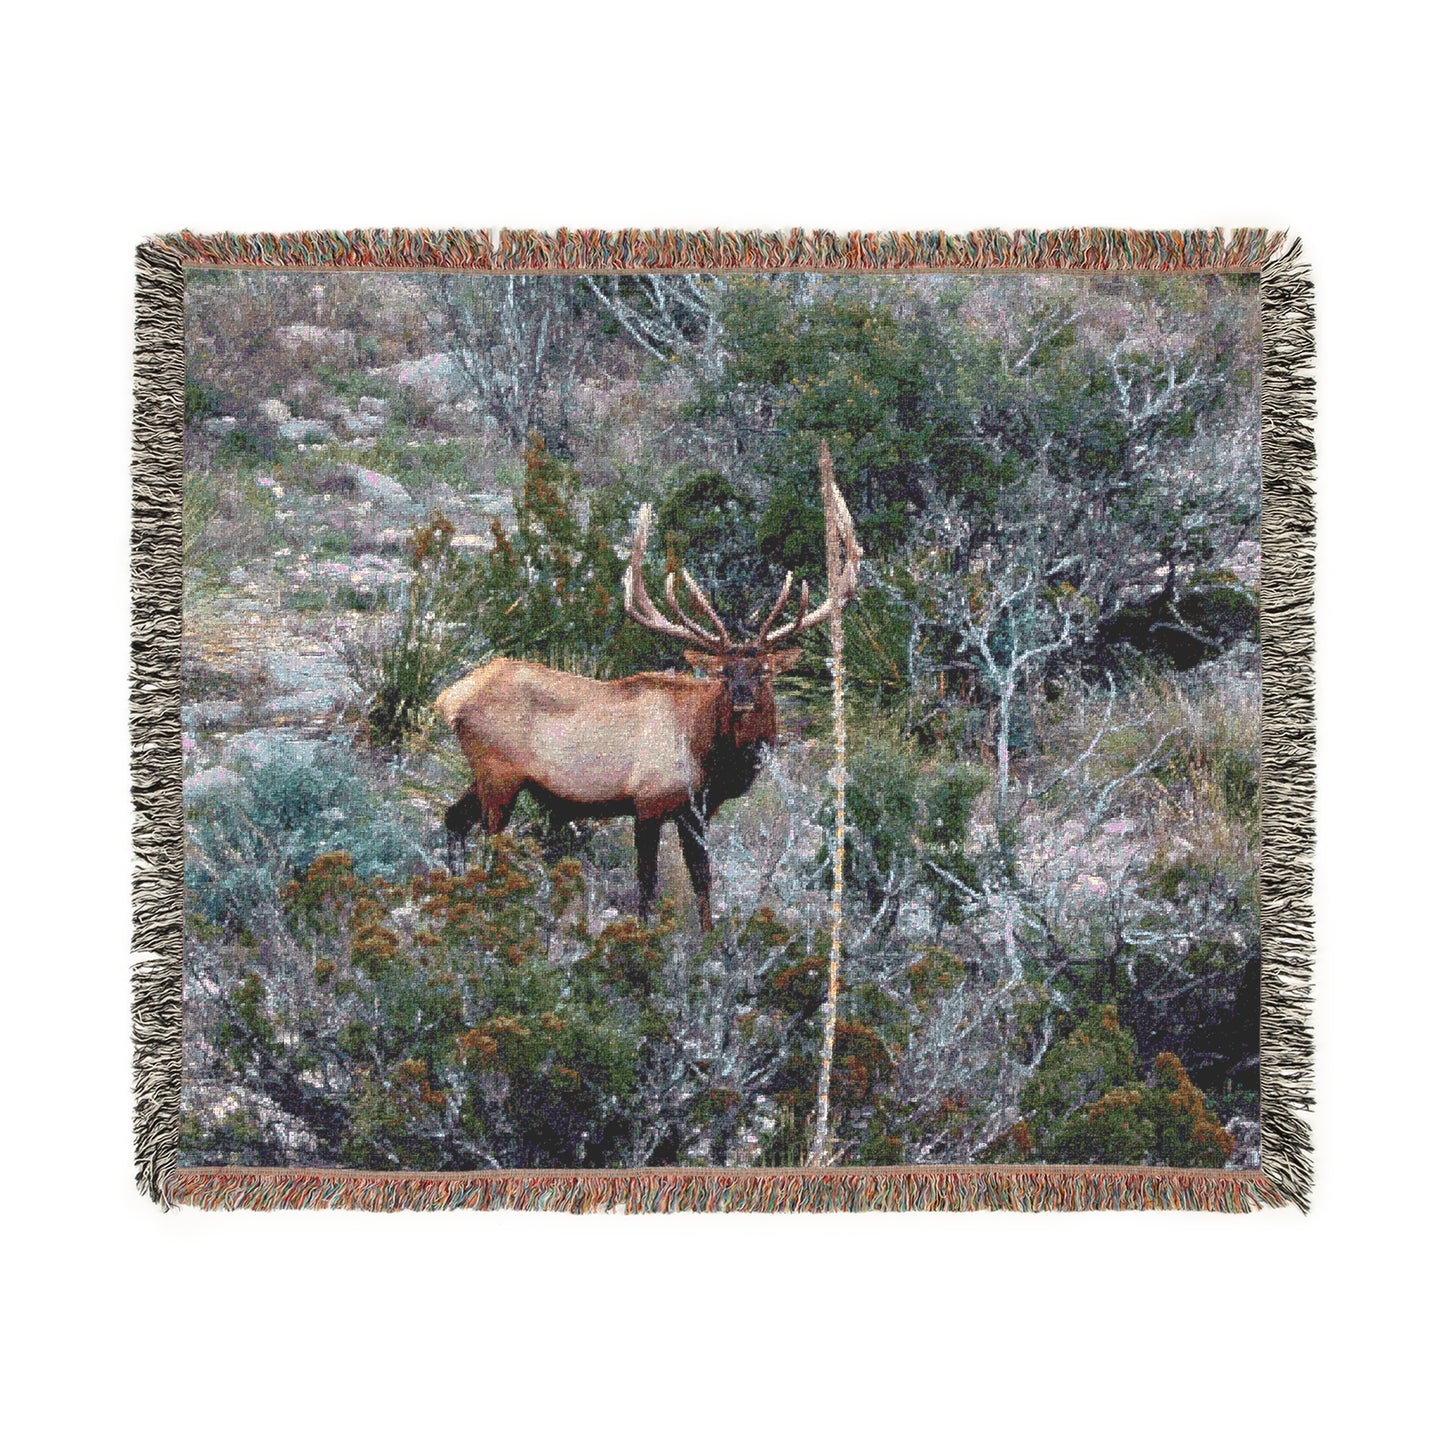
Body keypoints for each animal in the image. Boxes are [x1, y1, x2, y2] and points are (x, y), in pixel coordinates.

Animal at [435, 447, 861, 931]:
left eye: (764, 671)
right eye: (723, 672)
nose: (742, 698)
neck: (706, 755)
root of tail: (449, 699)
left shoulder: (696, 811)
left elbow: (702, 879)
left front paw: (710, 937)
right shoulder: (649, 800)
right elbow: (647, 884)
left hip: (487, 774)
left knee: (453, 819)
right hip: (499, 773)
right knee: (490, 842)